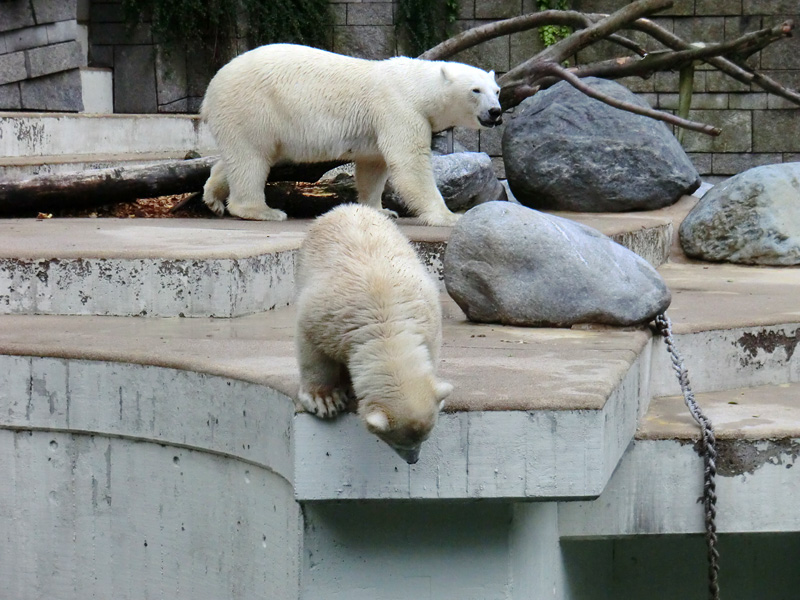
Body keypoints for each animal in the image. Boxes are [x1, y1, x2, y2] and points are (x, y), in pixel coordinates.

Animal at [200, 42, 500, 225]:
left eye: (496, 90)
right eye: (475, 90)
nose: (495, 112)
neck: (416, 86)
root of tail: (210, 89)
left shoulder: (378, 125)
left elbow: (373, 167)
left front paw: (382, 210)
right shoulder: (399, 109)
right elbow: (410, 163)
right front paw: (450, 216)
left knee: (239, 157)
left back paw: (213, 197)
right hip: (252, 107)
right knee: (251, 157)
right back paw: (262, 211)